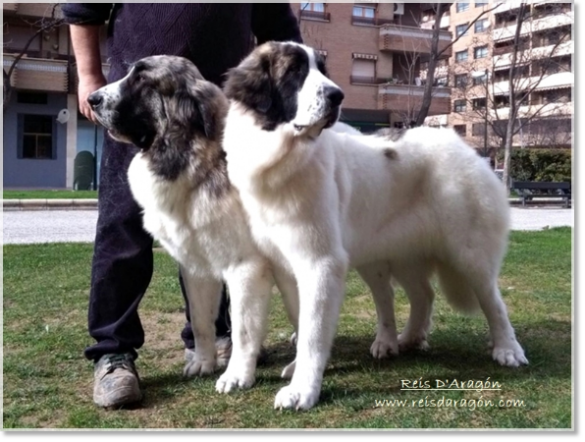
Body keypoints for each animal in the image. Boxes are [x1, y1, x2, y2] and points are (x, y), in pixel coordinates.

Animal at [221, 42, 528, 410]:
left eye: (322, 69)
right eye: (294, 71)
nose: (337, 95)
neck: (277, 159)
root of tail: (466, 149)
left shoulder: (319, 263)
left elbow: (311, 331)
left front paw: (302, 389)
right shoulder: (270, 265)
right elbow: (253, 326)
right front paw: (242, 375)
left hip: (469, 255)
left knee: (492, 301)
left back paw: (507, 349)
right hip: (391, 252)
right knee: (417, 294)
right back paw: (405, 339)